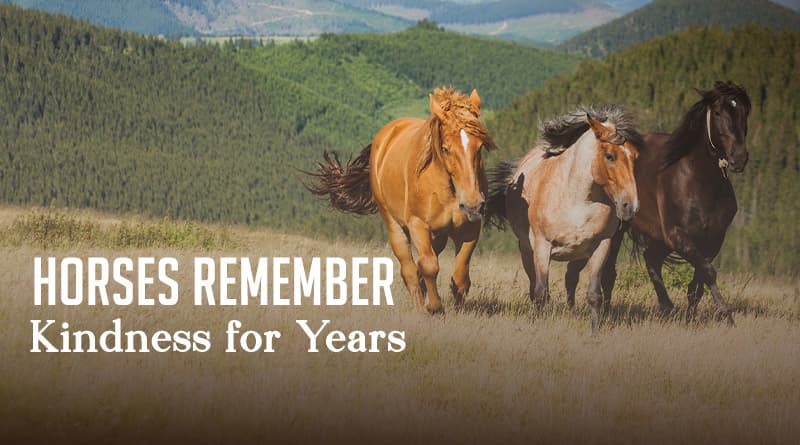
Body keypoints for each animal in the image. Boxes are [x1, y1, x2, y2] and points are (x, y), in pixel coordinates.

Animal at [305, 87, 497, 314]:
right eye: (446, 148)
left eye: (480, 147)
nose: (473, 204)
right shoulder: (417, 225)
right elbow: (429, 265)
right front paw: (434, 306)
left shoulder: (470, 228)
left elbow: (460, 276)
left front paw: (456, 305)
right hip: (394, 224)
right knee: (409, 268)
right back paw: (420, 304)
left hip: (439, 235)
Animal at [486, 105, 642, 332]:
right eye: (610, 156)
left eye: (635, 156)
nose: (630, 206)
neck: (577, 201)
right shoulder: (542, 247)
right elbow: (541, 292)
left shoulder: (601, 246)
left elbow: (594, 293)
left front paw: (595, 331)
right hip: (526, 250)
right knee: (535, 286)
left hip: (579, 255)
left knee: (571, 278)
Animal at [568, 81, 751, 324]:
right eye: (718, 112)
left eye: (745, 112)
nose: (739, 158)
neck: (699, 181)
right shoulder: (677, 236)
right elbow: (708, 272)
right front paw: (726, 314)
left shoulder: (712, 240)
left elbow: (698, 281)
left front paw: (691, 317)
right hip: (619, 231)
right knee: (607, 272)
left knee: (649, 260)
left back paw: (665, 307)